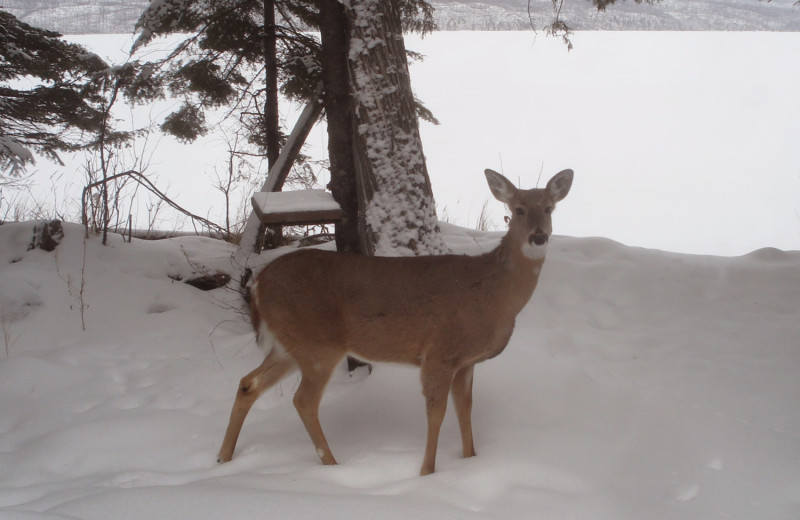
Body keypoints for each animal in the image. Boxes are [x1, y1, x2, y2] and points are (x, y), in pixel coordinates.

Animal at [216, 168, 572, 476]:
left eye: (549, 208)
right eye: (518, 209)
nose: (539, 237)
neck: (494, 295)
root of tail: (259, 284)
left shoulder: (466, 362)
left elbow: (465, 410)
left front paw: (470, 460)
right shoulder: (440, 352)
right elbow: (436, 414)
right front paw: (427, 472)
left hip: (289, 345)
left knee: (248, 383)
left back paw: (223, 457)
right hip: (318, 343)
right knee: (302, 400)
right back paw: (332, 465)